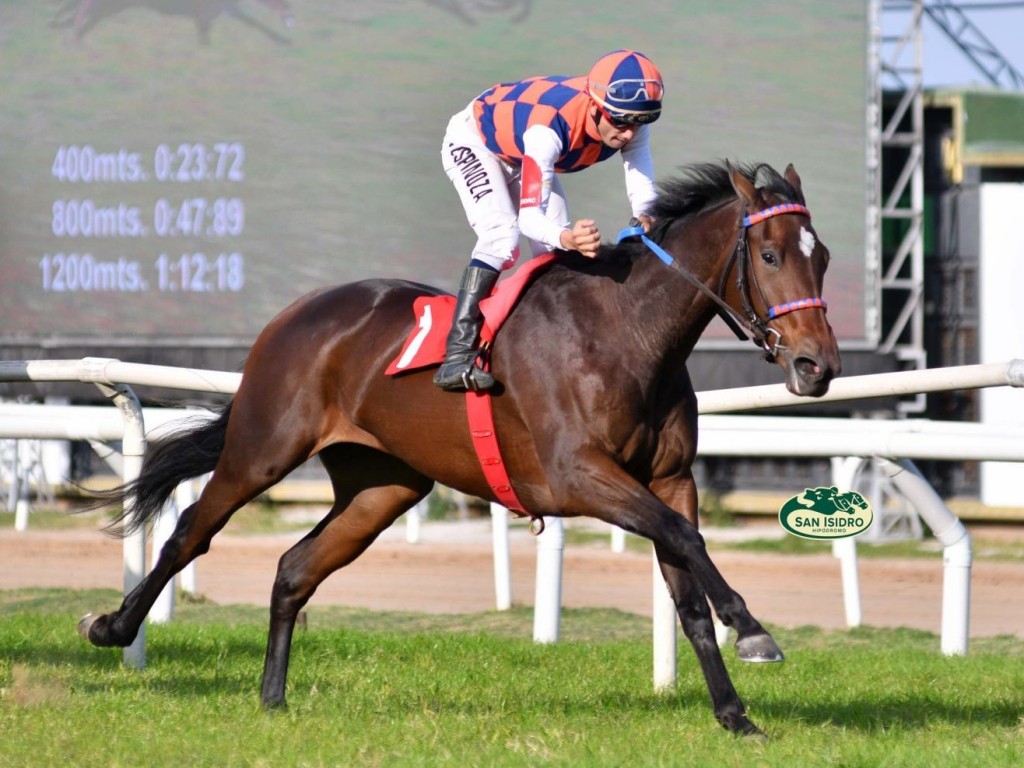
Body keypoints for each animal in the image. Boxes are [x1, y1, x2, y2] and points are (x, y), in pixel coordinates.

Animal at [81, 157, 839, 741]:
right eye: (769, 255)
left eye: (823, 258)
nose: (817, 366)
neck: (626, 333)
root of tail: (295, 314)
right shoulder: (578, 475)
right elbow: (686, 539)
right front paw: (753, 629)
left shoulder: (672, 477)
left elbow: (686, 588)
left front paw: (735, 714)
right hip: (261, 448)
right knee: (190, 530)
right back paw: (113, 627)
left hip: (383, 485)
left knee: (296, 568)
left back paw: (272, 697)